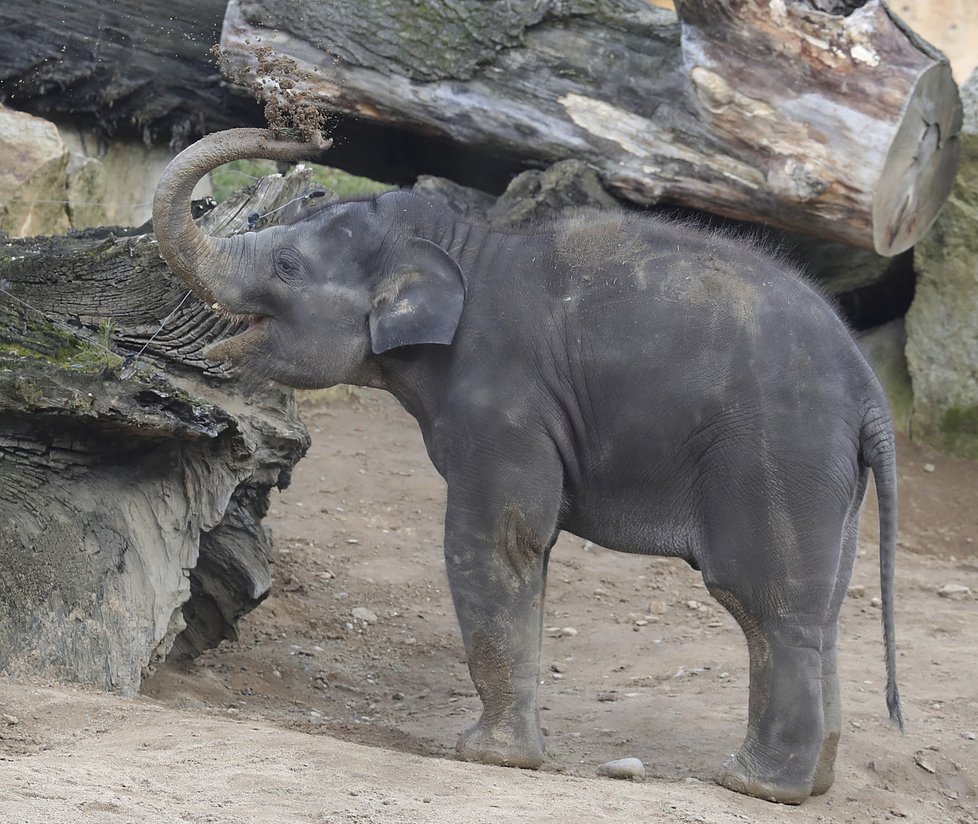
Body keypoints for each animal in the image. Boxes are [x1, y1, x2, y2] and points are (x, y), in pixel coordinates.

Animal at [152, 129, 900, 804]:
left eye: (285, 266)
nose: (303, 133)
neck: (463, 245)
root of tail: (870, 390)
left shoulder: (505, 404)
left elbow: (498, 539)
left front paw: (486, 757)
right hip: (830, 483)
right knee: (822, 611)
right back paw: (812, 783)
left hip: (775, 455)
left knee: (766, 605)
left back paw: (754, 786)